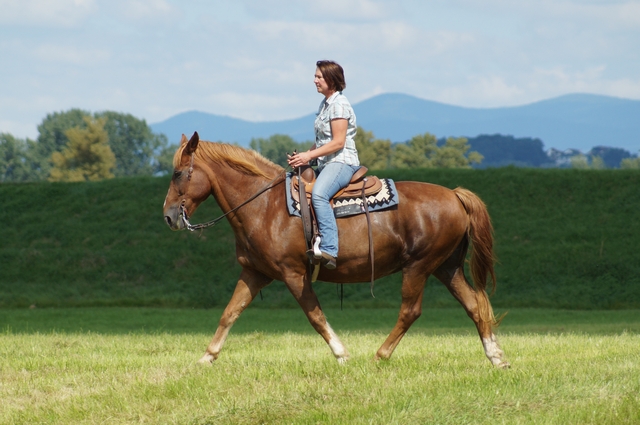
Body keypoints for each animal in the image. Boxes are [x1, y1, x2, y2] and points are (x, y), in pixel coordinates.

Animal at [164, 132, 510, 368]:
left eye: (178, 173)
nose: (168, 216)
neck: (264, 206)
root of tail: (455, 195)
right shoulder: (254, 272)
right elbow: (229, 313)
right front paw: (206, 357)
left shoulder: (293, 274)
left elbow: (315, 316)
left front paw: (342, 354)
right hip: (446, 267)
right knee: (474, 305)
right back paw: (496, 357)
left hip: (419, 266)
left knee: (411, 311)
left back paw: (380, 355)